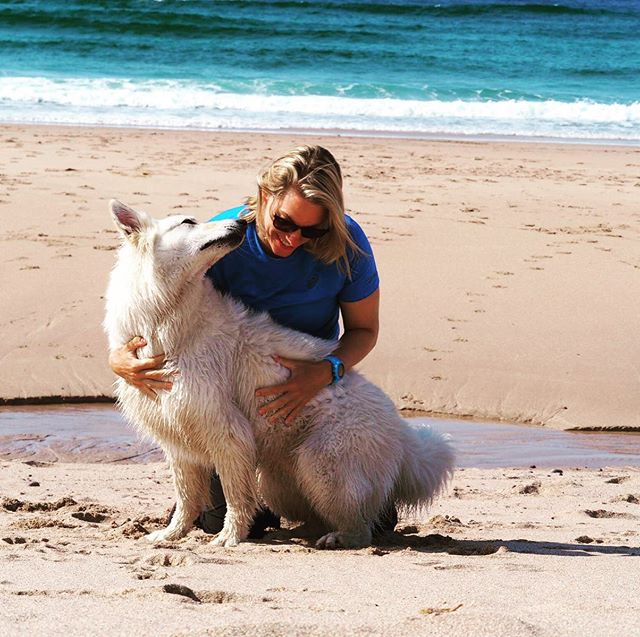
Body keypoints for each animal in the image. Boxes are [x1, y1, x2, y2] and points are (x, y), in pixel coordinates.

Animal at [106, 201, 456, 548]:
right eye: (188, 222)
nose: (240, 223)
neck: (169, 314)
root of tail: (403, 435)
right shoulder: (177, 434)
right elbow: (187, 497)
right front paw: (171, 534)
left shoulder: (225, 430)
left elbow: (235, 496)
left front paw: (229, 537)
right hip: (279, 478)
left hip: (320, 460)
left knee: (360, 525)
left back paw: (338, 537)